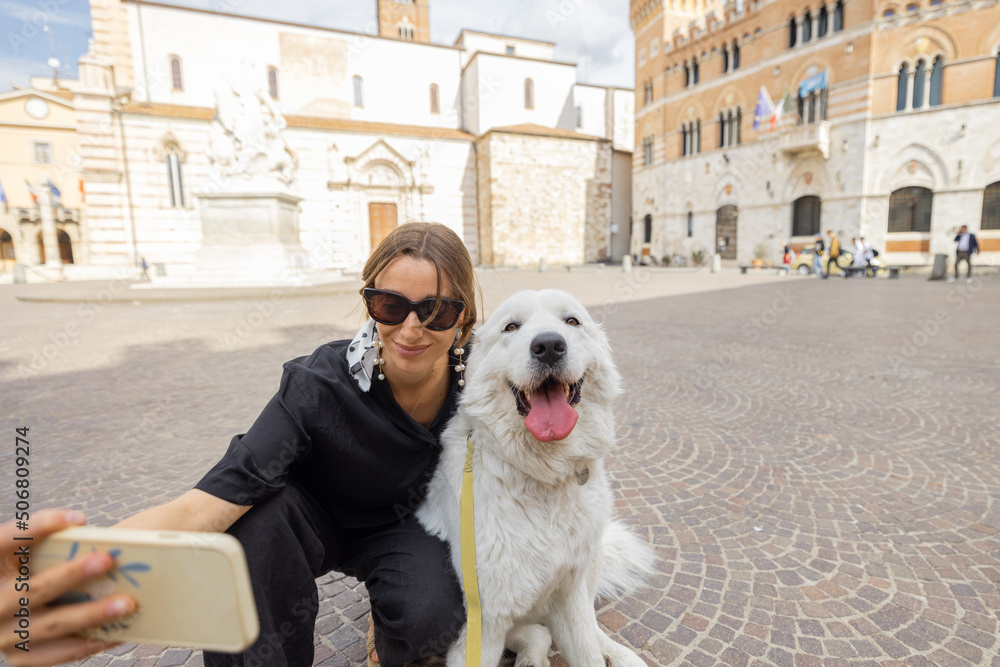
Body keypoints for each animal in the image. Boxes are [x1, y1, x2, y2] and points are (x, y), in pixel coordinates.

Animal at [418, 290, 652, 667]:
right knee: (536, 634)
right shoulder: (485, 622)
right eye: (512, 327)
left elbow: (587, 649)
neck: (543, 478)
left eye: (571, 321)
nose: (549, 346)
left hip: (589, 561)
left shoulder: (570, 595)